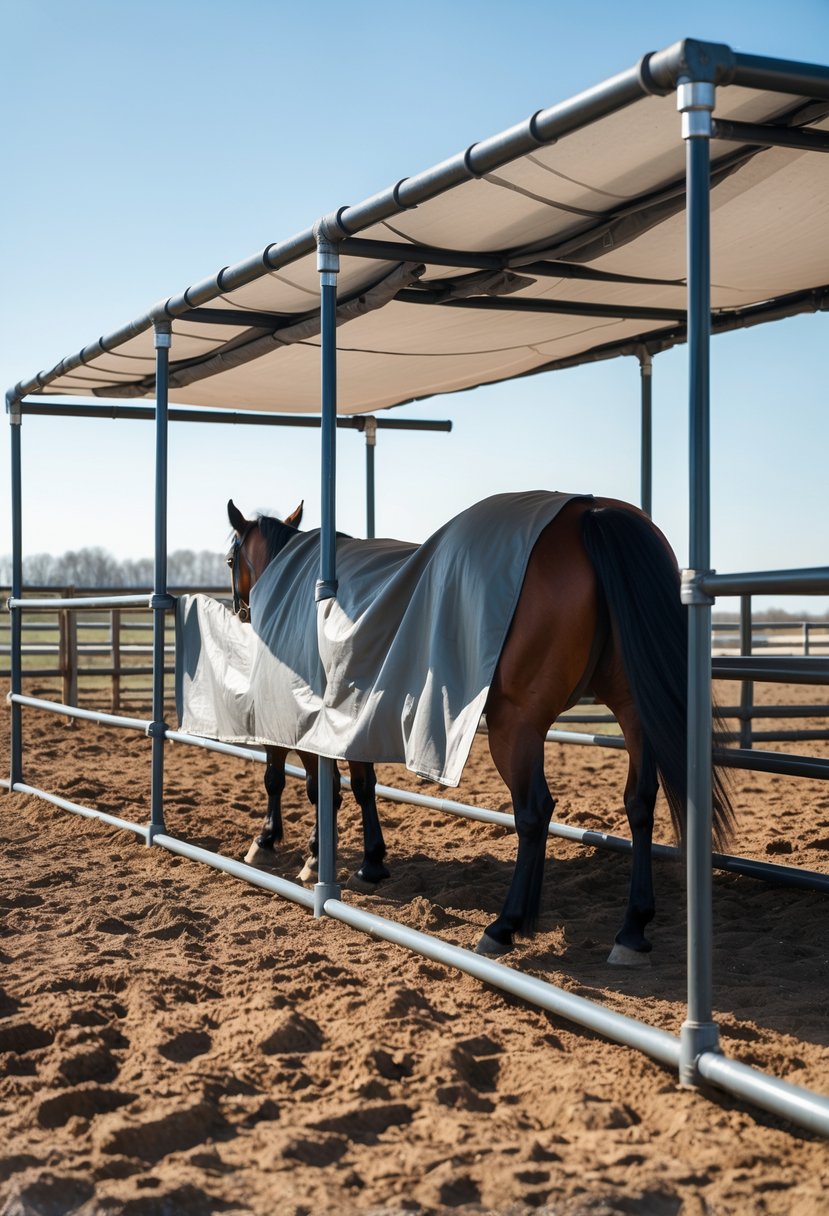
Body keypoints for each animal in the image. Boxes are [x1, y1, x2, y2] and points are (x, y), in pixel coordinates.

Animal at [226, 500, 389, 890]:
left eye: (229, 560)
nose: (239, 612)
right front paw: (369, 859)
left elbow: (309, 784)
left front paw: (306, 854)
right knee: (363, 783)